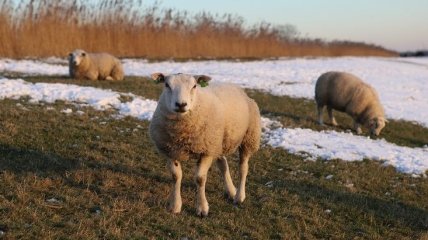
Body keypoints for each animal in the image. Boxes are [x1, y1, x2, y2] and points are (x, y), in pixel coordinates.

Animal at [149, 72, 260, 217]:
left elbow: (200, 178)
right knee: (223, 165)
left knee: (243, 168)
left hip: (248, 138)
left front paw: (202, 208)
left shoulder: (206, 151)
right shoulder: (170, 150)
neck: (182, 132)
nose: (181, 104)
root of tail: (234, 86)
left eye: (194, 86)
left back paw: (239, 196)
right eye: (167, 85)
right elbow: (176, 176)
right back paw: (231, 191)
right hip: (218, 143)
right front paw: (175, 205)